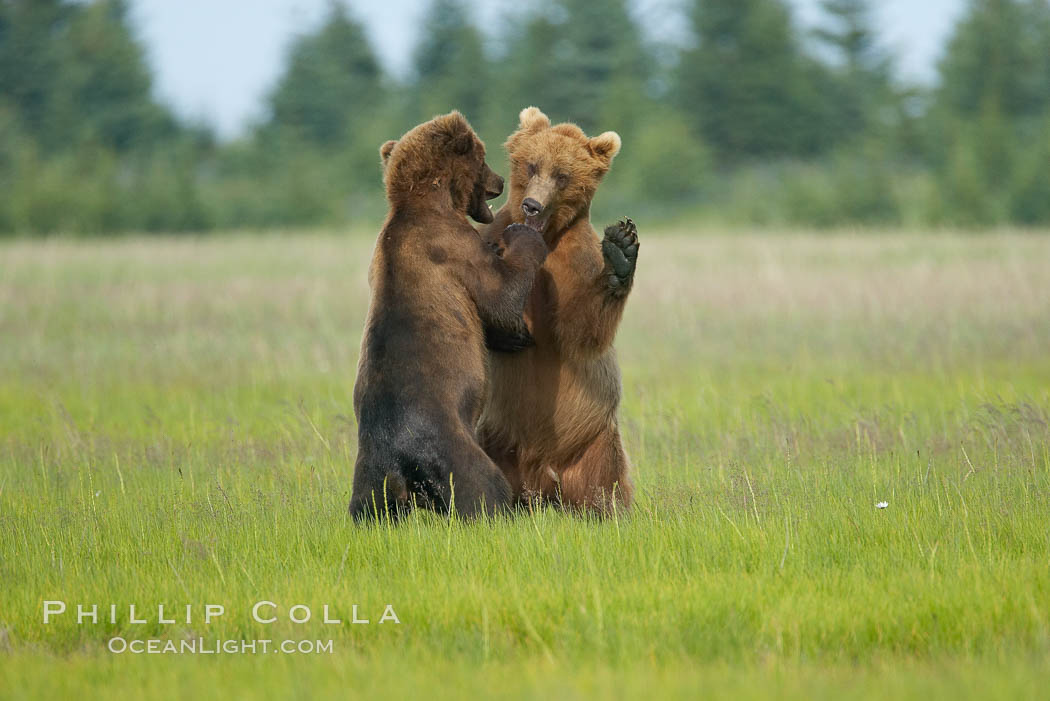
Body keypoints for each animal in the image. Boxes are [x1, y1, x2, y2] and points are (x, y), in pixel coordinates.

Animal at [350, 110, 550, 520]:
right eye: (483, 157)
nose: (499, 181)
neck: (434, 202)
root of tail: (400, 458)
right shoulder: (453, 247)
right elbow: (500, 297)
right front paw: (522, 234)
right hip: (451, 443)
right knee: (482, 485)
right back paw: (501, 509)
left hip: (370, 473)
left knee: (366, 506)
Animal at [478, 105, 638, 510]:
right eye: (532, 165)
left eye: (563, 175)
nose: (532, 205)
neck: (542, 238)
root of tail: (541, 483)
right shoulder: (491, 240)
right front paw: (509, 335)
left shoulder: (575, 260)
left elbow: (582, 329)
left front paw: (621, 250)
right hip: (494, 432)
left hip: (593, 439)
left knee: (605, 481)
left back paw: (607, 509)